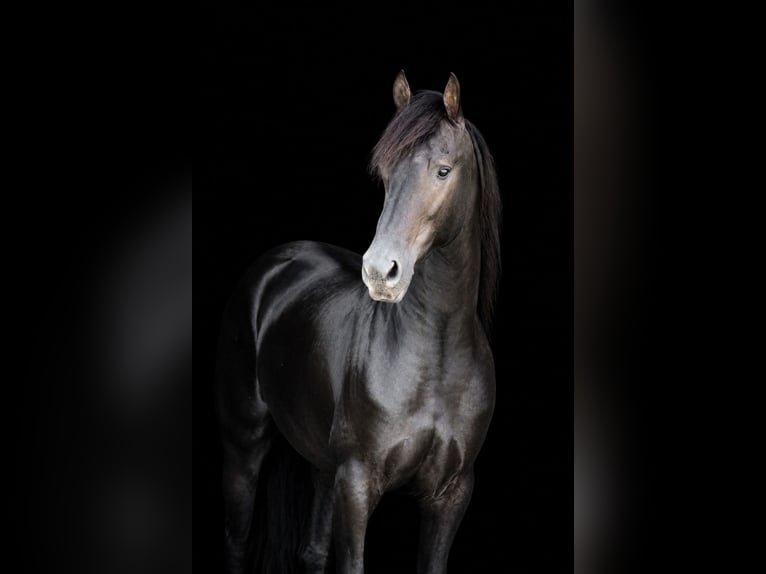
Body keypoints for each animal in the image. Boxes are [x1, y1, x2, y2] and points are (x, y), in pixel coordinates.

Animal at [217, 70, 502, 574]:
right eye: (385, 176)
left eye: (443, 170)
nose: (380, 272)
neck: (436, 357)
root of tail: (275, 264)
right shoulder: (357, 485)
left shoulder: (450, 495)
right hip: (244, 444)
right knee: (236, 540)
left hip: (321, 465)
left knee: (311, 551)